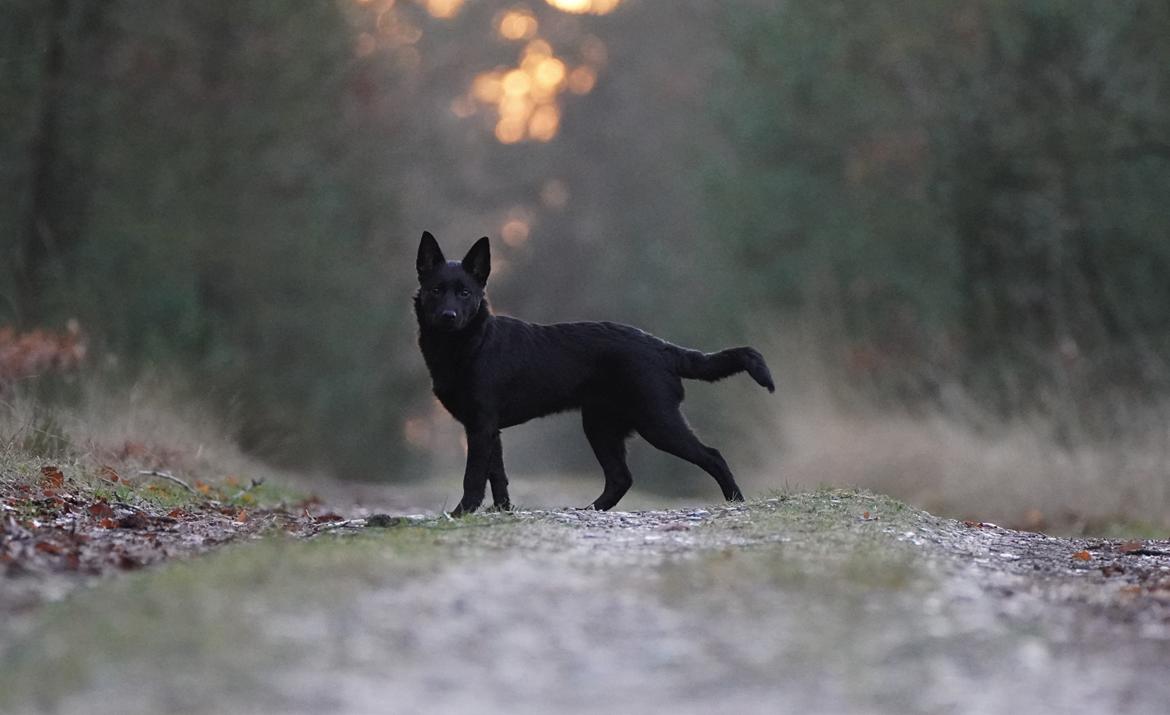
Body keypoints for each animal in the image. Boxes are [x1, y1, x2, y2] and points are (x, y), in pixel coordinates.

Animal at [416, 231, 772, 517]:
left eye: (465, 293)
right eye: (435, 290)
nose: (448, 316)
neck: (471, 345)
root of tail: (662, 348)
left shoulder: (481, 426)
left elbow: (474, 477)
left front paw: (461, 513)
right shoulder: (489, 429)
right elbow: (497, 475)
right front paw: (503, 511)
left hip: (656, 422)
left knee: (712, 456)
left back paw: (736, 502)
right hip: (601, 426)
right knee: (620, 478)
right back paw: (590, 510)